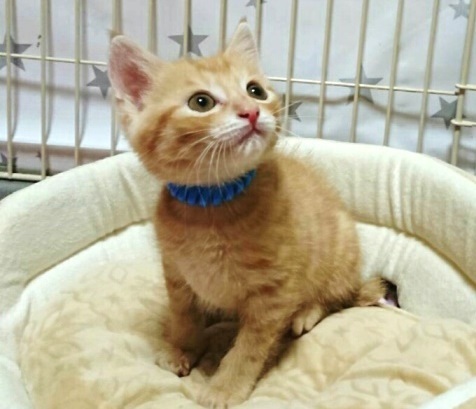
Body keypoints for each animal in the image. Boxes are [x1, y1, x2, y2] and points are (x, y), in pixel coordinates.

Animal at [108, 20, 384, 409]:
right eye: (201, 102)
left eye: (255, 91)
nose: (252, 111)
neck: (213, 203)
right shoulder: (177, 274)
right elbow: (183, 315)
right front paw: (182, 348)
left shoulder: (274, 293)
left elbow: (250, 347)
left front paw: (225, 387)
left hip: (341, 251)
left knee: (335, 297)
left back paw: (306, 313)